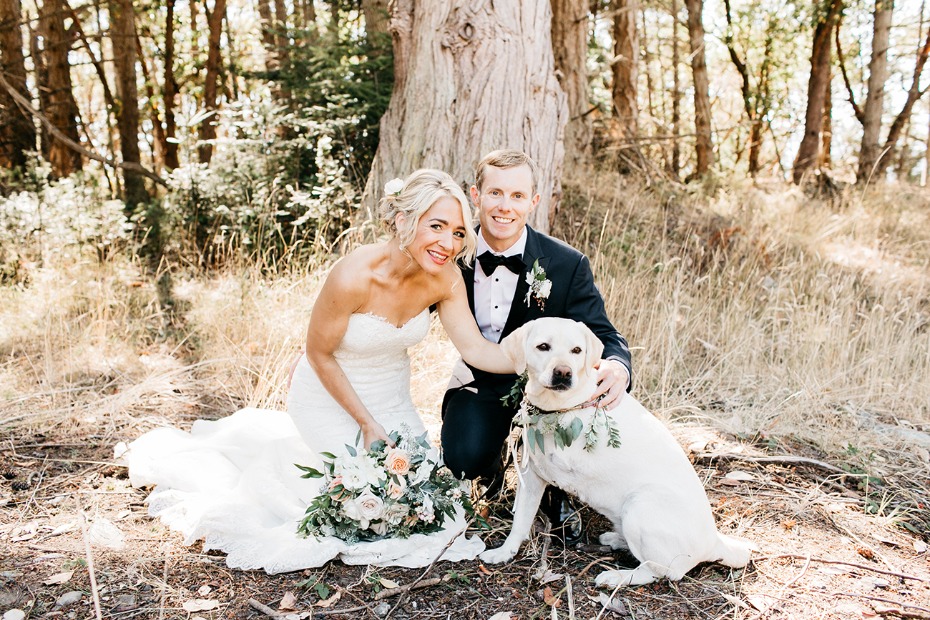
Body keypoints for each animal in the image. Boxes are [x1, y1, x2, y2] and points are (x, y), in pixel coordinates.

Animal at [474, 320, 752, 588]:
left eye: (577, 350)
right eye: (543, 347)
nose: (564, 372)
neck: (561, 406)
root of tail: (714, 541)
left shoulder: (560, 467)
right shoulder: (531, 474)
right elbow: (520, 519)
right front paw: (505, 552)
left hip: (640, 505)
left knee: (661, 572)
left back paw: (617, 577)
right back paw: (617, 540)